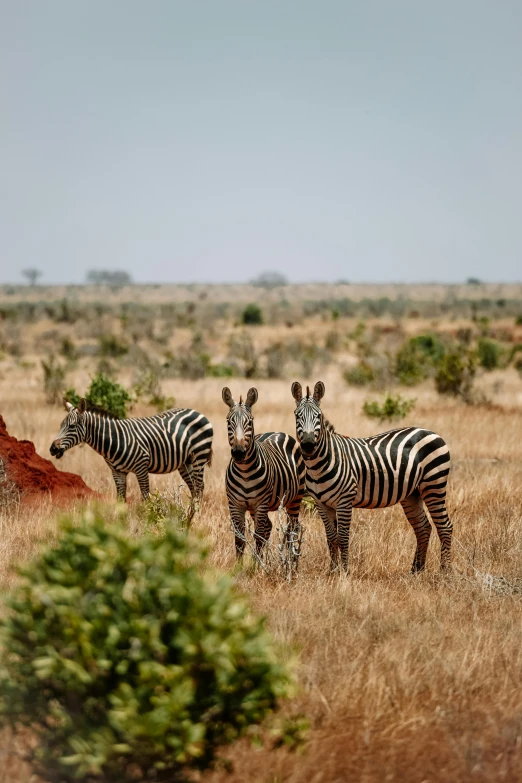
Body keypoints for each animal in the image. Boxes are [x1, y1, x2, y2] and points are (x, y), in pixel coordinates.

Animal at [48, 398, 211, 516]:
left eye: (72, 426)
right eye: (61, 425)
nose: (52, 449)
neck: (114, 440)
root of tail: (197, 412)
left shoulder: (141, 467)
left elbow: (145, 497)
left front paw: (148, 520)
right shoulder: (117, 472)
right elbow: (120, 499)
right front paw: (120, 522)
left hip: (199, 457)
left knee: (199, 486)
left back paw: (196, 515)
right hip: (185, 462)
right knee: (194, 487)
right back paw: (190, 513)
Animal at [220, 388, 304, 560]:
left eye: (250, 421)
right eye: (228, 421)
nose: (238, 453)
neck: (245, 472)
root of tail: (278, 432)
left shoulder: (261, 503)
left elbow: (258, 536)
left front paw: (256, 564)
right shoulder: (235, 505)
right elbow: (239, 539)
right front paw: (240, 565)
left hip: (296, 498)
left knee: (292, 528)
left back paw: (291, 560)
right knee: (270, 527)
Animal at [288, 382, 450, 572]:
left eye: (318, 416)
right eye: (297, 415)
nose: (307, 445)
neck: (318, 465)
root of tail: (431, 432)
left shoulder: (345, 500)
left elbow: (343, 537)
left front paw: (344, 571)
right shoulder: (321, 504)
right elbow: (331, 538)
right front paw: (332, 571)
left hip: (434, 485)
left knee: (445, 527)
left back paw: (445, 571)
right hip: (412, 493)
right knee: (423, 528)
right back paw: (416, 570)